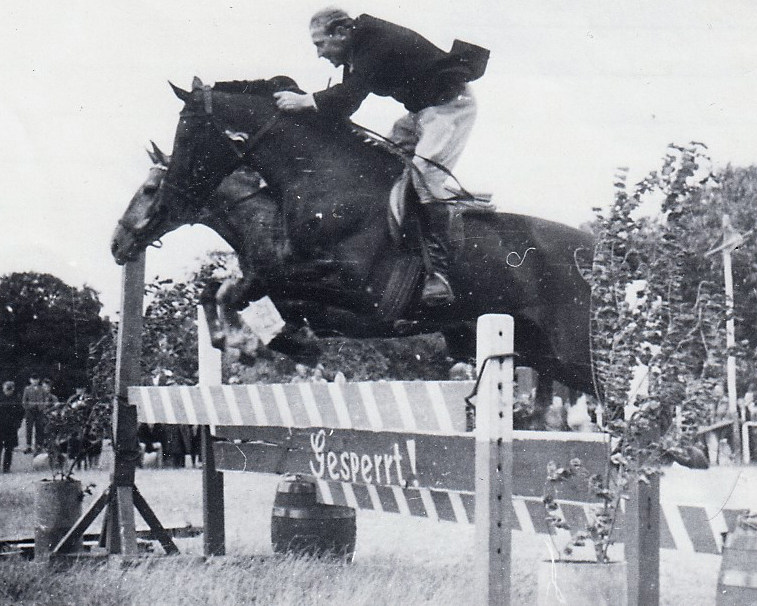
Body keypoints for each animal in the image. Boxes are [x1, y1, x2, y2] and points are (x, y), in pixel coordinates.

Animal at [112, 76, 596, 400]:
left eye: (187, 131)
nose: (117, 246)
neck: (327, 186)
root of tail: (601, 253)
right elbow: (221, 289)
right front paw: (250, 341)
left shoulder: (360, 293)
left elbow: (254, 290)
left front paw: (252, 343)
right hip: (546, 355)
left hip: (578, 354)